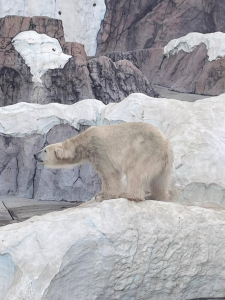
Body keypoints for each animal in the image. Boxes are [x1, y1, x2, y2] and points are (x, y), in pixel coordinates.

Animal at [33, 121, 174, 202]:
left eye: (44, 150)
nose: (34, 155)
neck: (84, 141)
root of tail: (165, 145)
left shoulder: (99, 149)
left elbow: (109, 173)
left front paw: (103, 196)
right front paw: (101, 194)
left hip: (145, 151)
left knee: (136, 173)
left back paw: (129, 195)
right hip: (164, 162)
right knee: (159, 180)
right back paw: (156, 196)